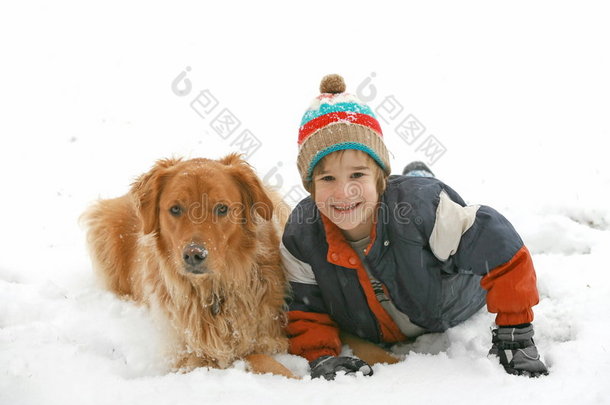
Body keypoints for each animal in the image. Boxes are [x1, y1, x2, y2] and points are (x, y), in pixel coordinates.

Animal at [81, 153, 294, 378]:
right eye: (175, 209)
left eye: (222, 208)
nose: (194, 255)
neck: (212, 293)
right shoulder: (188, 357)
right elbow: (248, 358)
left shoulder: (269, 338)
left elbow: (261, 356)